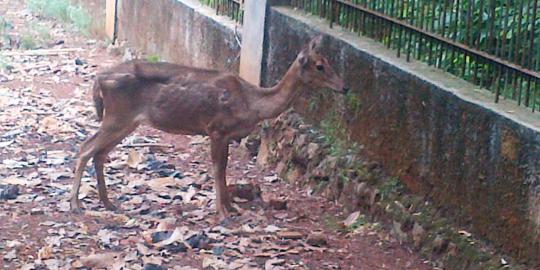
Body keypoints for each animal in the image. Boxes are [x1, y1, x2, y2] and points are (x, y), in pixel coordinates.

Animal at [69, 35, 346, 217]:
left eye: (329, 61)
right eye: (319, 65)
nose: (344, 87)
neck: (252, 102)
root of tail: (98, 79)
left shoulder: (226, 135)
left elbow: (224, 170)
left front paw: (231, 207)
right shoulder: (216, 128)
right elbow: (217, 168)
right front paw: (222, 211)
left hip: (125, 122)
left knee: (99, 153)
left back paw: (107, 203)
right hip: (118, 116)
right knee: (85, 148)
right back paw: (75, 205)